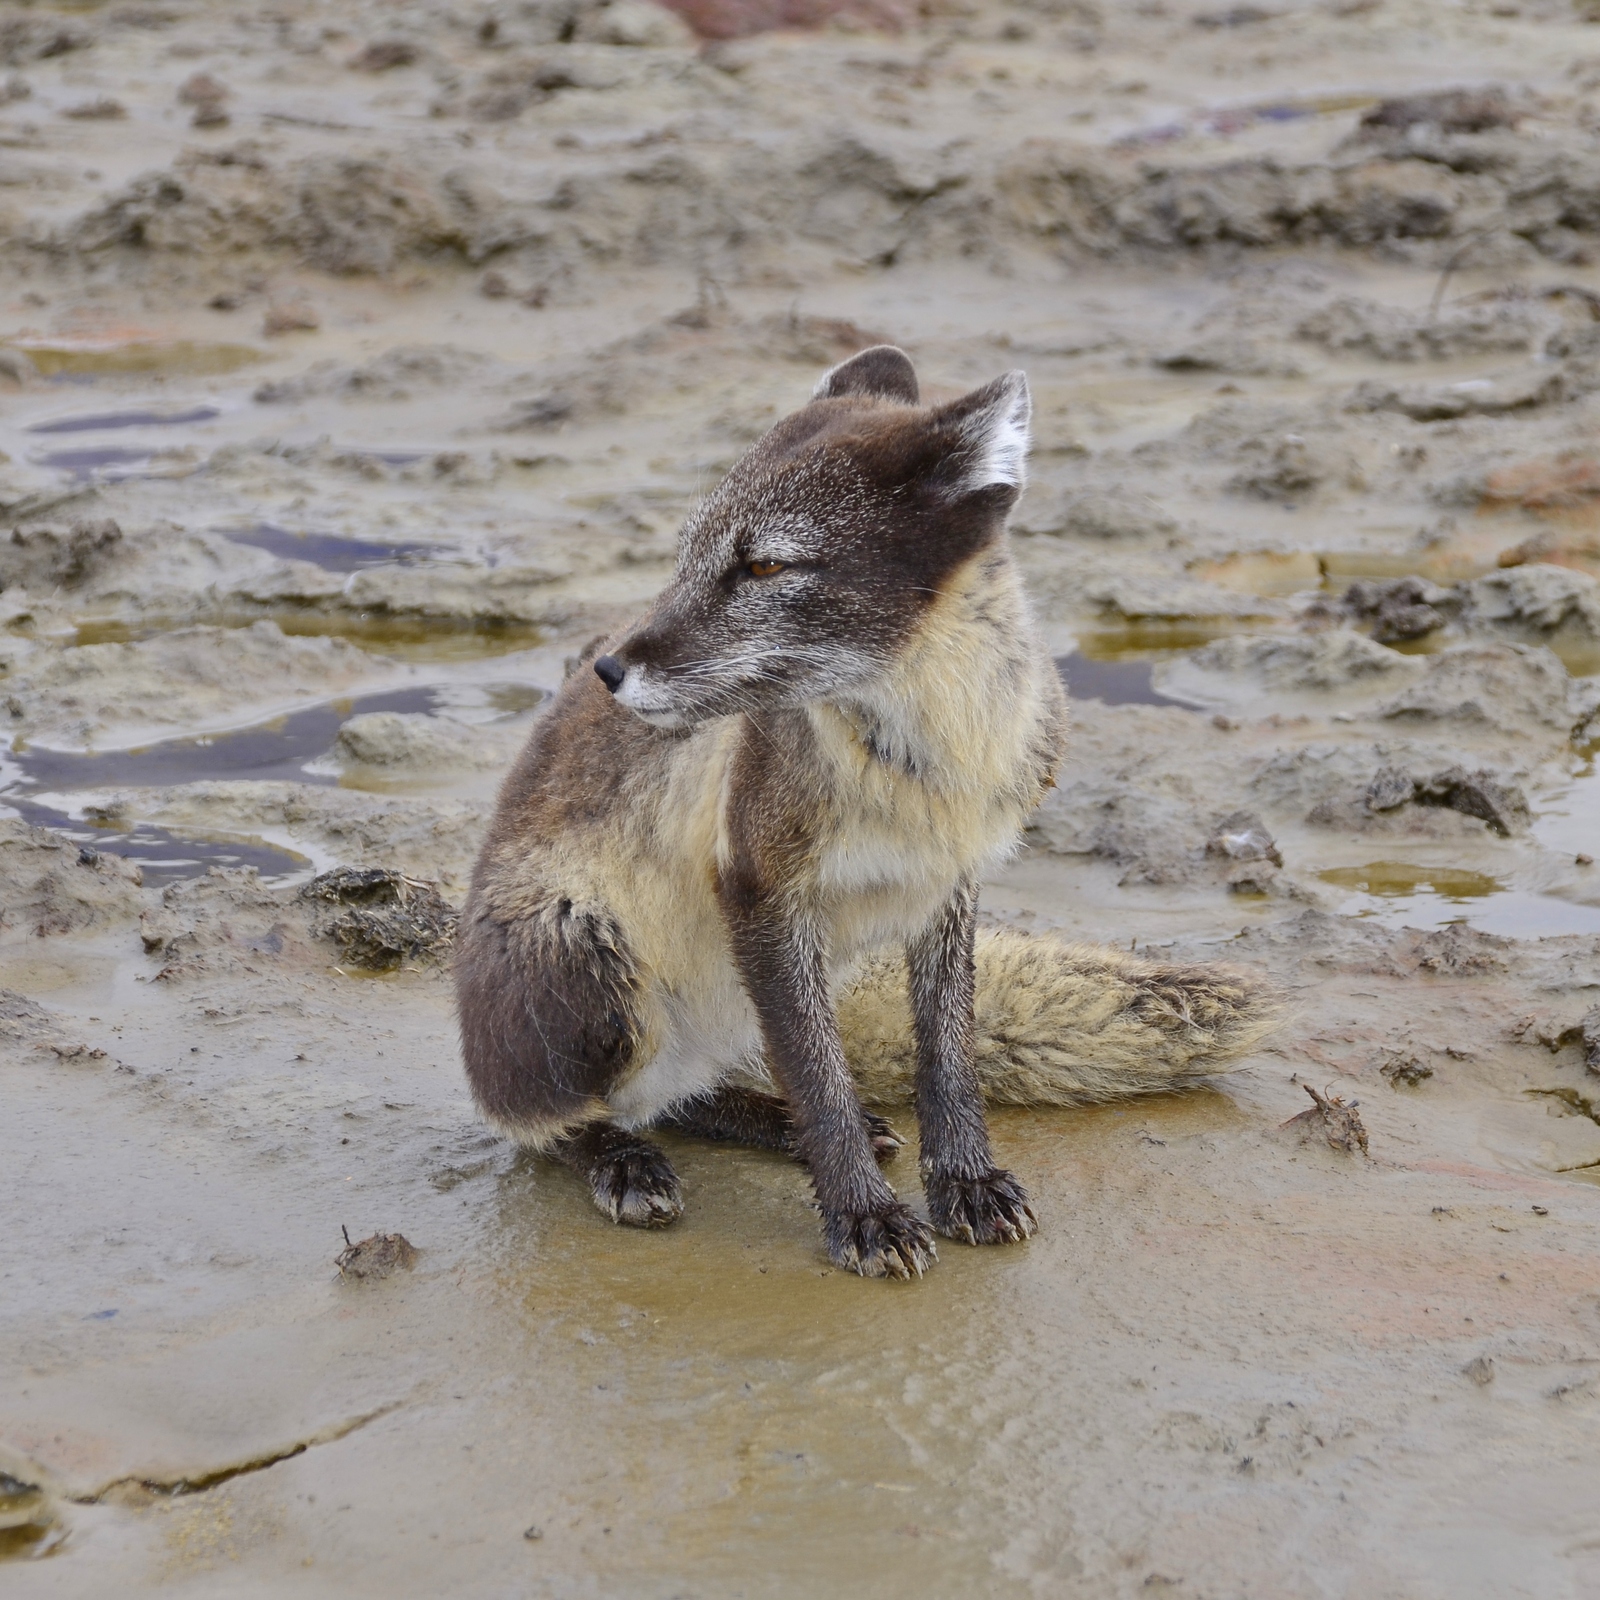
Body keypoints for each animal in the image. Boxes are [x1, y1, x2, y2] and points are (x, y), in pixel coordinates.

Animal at [454, 347, 1273, 1273]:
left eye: (764, 566)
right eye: (688, 556)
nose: (607, 671)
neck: (926, 765)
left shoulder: (949, 885)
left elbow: (943, 1058)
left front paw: (964, 1182)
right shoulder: (761, 892)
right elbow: (823, 1081)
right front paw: (865, 1215)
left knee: (682, 1094)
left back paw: (761, 1123)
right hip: (587, 958)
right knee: (556, 1121)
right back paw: (622, 1158)